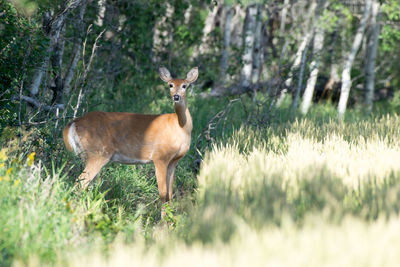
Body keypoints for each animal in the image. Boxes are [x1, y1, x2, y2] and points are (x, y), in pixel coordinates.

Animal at [63, 67, 198, 216]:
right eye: (170, 85)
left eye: (184, 85)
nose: (176, 97)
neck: (180, 127)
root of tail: (74, 122)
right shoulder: (160, 157)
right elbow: (163, 194)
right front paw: (164, 221)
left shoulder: (174, 161)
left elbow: (170, 194)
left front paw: (170, 219)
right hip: (98, 153)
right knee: (79, 184)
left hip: (88, 155)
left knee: (87, 185)